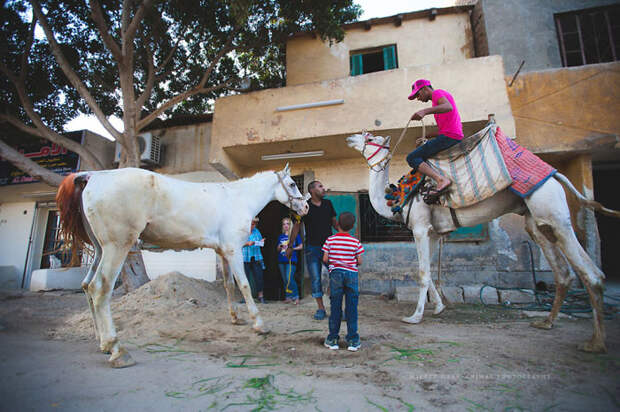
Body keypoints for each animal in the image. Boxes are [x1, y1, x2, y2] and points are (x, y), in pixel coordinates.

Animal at [57, 164, 308, 366]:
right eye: (292, 184)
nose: (304, 208)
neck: (238, 199)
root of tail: (92, 176)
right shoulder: (234, 250)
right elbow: (245, 286)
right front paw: (259, 324)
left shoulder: (223, 251)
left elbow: (229, 285)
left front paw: (236, 318)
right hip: (116, 247)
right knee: (100, 289)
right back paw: (117, 350)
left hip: (100, 249)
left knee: (87, 286)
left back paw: (102, 344)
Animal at [346, 133, 616, 354]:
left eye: (369, 137)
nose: (350, 138)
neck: (400, 199)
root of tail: (554, 174)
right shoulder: (434, 232)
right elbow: (428, 271)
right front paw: (439, 307)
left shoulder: (421, 228)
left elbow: (422, 273)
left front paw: (415, 316)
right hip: (536, 219)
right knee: (562, 272)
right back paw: (546, 322)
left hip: (552, 210)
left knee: (591, 273)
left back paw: (595, 343)